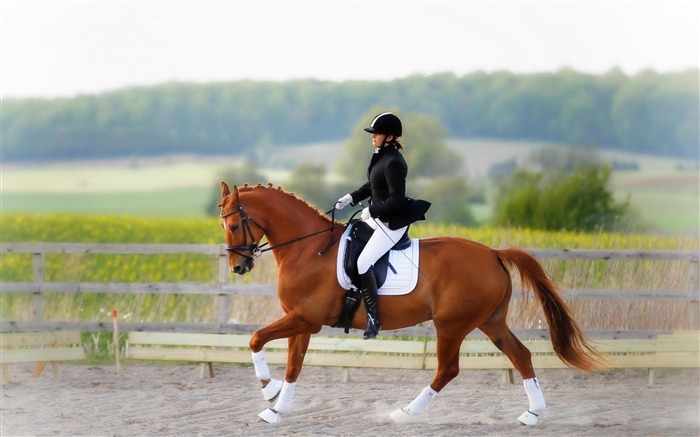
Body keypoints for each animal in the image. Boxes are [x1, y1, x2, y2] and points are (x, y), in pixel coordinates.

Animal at [217, 182, 600, 424]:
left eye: (234, 225)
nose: (238, 267)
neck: (309, 249)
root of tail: (493, 252)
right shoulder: (301, 321)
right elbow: (293, 366)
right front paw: (276, 408)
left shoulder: (306, 319)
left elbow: (255, 340)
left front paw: (269, 391)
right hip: (490, 321)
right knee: (520, 355)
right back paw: (532, 414)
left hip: (452, 325)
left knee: (448, 370)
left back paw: (404, 414)